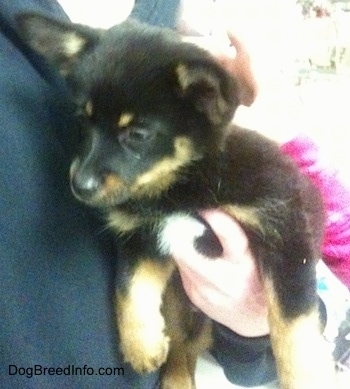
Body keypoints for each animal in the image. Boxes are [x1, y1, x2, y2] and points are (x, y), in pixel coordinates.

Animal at [17, 13, 336, 388]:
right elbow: (128, 287)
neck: (180, 185)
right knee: (184, 346)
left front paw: (306, 377)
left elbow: (292, 322)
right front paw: (141, 344)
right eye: (83, 119)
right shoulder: (143, 237)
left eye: (137, 134)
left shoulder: (286, 231)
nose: (79, 185)